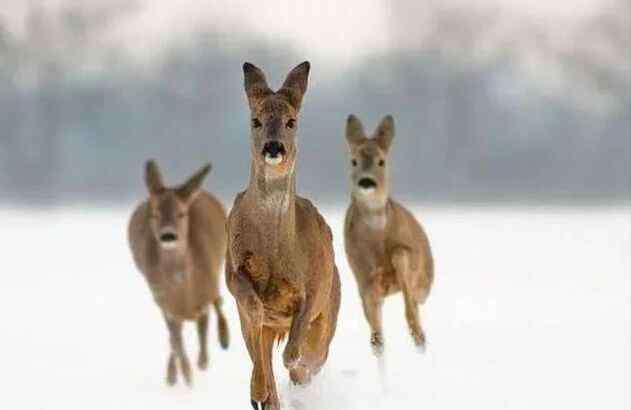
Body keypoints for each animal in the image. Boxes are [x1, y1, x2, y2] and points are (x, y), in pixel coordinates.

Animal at [128, 161, 230, 388]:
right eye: (155, 213)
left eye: (182, 213)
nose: (168, 235)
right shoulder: (164, 302)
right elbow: (175, 338)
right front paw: (184, 375)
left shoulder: (208, 282)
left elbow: (209, 315)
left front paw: (208, 355)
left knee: (214, 307)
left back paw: (220, 343)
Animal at [226, 61, 340, 410]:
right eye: (256, 120)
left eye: (292, 121)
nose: (274, 147)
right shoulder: (232, 270)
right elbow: (253, 308)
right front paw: (259, 392)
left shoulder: (315, 284)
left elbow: (295, 348)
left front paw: (294, 363)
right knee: (261, 351)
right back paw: (264, 394)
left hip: (330, 308)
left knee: (311, 357)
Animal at [346, 114, 434, 356]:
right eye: (353, 161)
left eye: (381, 161)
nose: (366, 182)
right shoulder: (362, 279)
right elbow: (376, 332)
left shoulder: (409, 254)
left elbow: (400, 256)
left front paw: (417, 334)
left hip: (425, 284)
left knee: (416, 303)